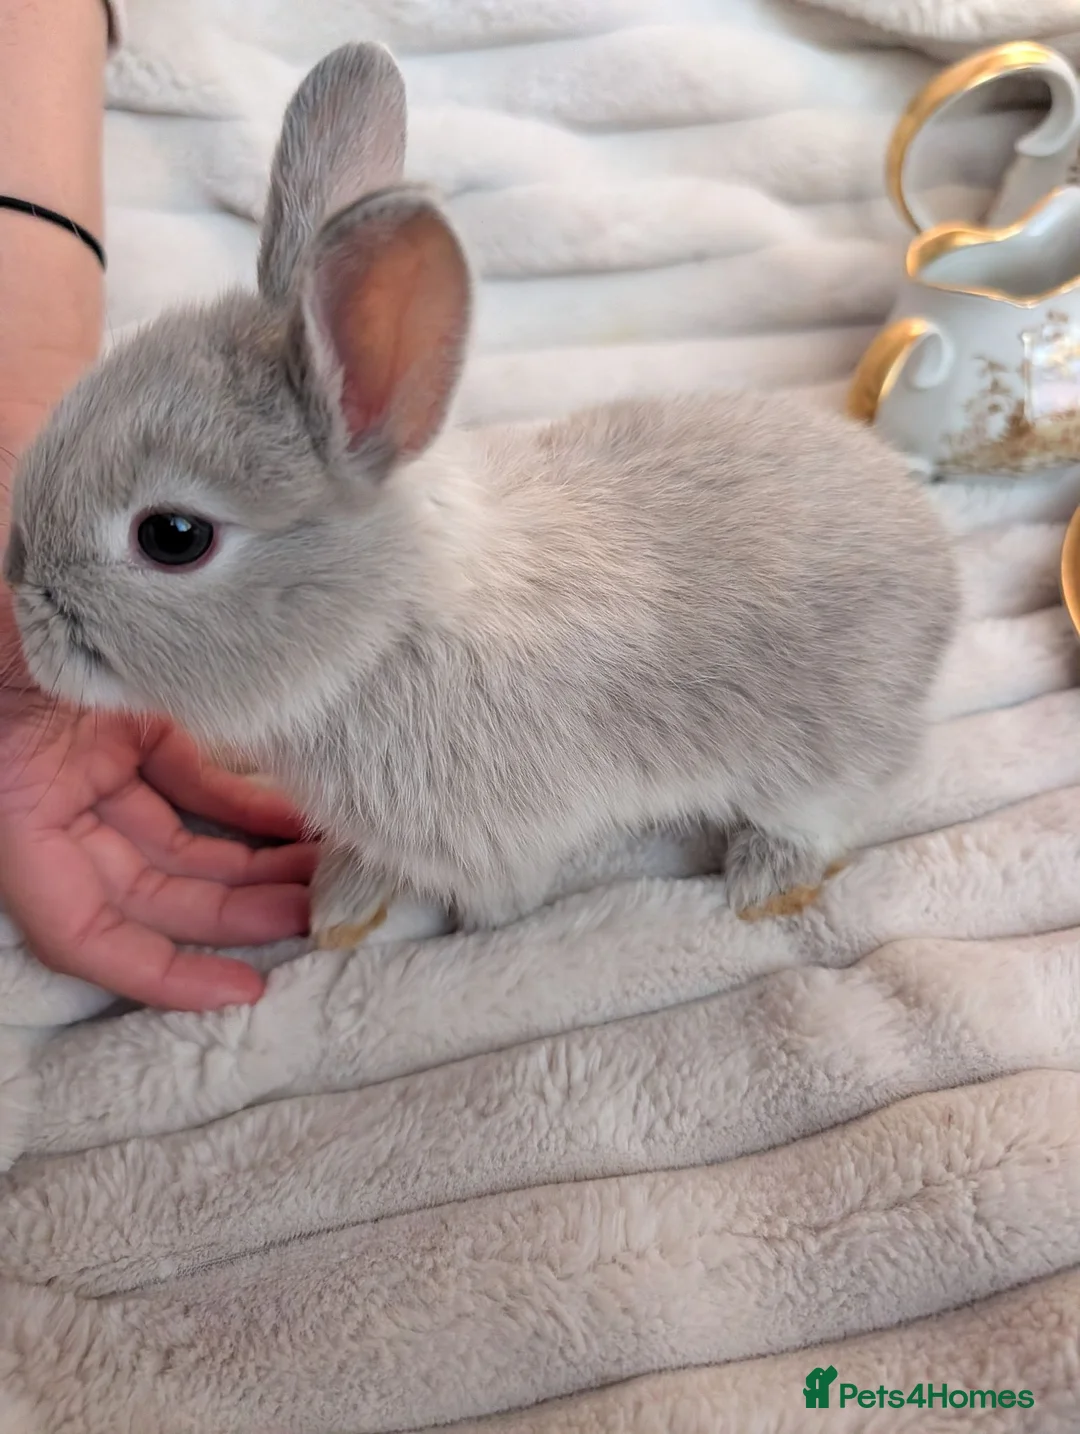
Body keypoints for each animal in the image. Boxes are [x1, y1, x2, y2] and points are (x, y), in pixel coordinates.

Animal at [4, 42, 959, 944]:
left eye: (172, 536)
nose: (23, 611)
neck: (385, 634)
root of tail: (934, 550)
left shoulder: (495, 838)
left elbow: (500, 902)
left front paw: (467, 937)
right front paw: (342, 906)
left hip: (822, 749)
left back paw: (765, 881)